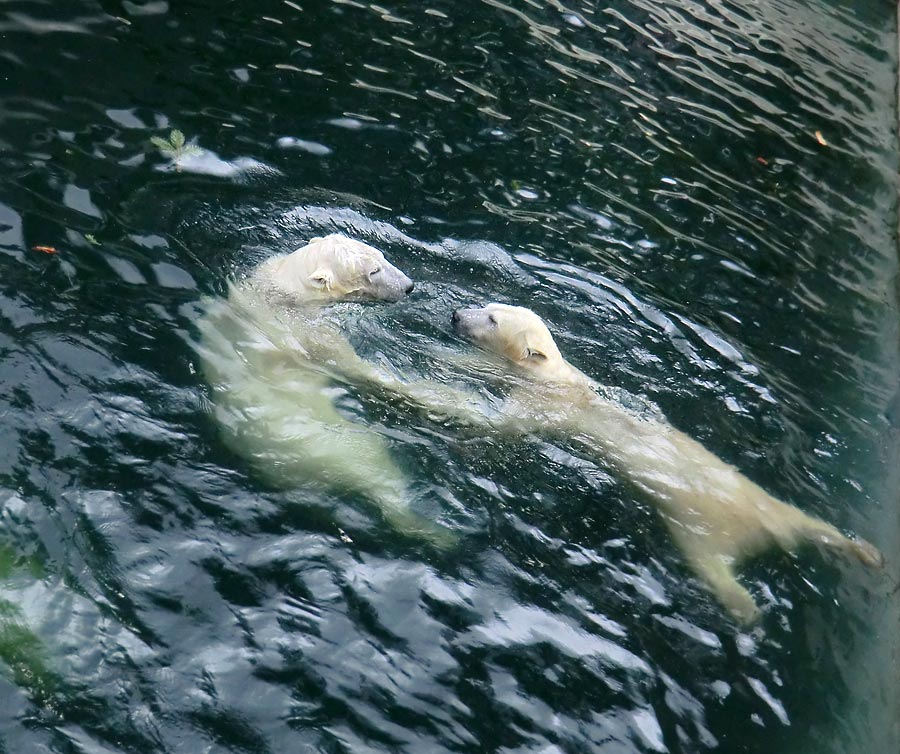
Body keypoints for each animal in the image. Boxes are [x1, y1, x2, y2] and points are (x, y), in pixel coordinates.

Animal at [198, 234, 450, 540]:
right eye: (373, 272)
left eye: (381, 255)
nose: (409, 286)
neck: (283, 289)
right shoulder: (309, 332)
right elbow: (355, 366)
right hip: (337, 445)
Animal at [446, 302, 884, 620]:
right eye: (488, 306)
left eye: (492, 318)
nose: (456, 315)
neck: (551, 374)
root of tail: (764, 529)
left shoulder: (544, 403)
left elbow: (500, 420)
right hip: (768, 502)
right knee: (813, 524)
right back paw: (866, 551)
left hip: (700, 530)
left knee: (716, 570)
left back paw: (749, 613)